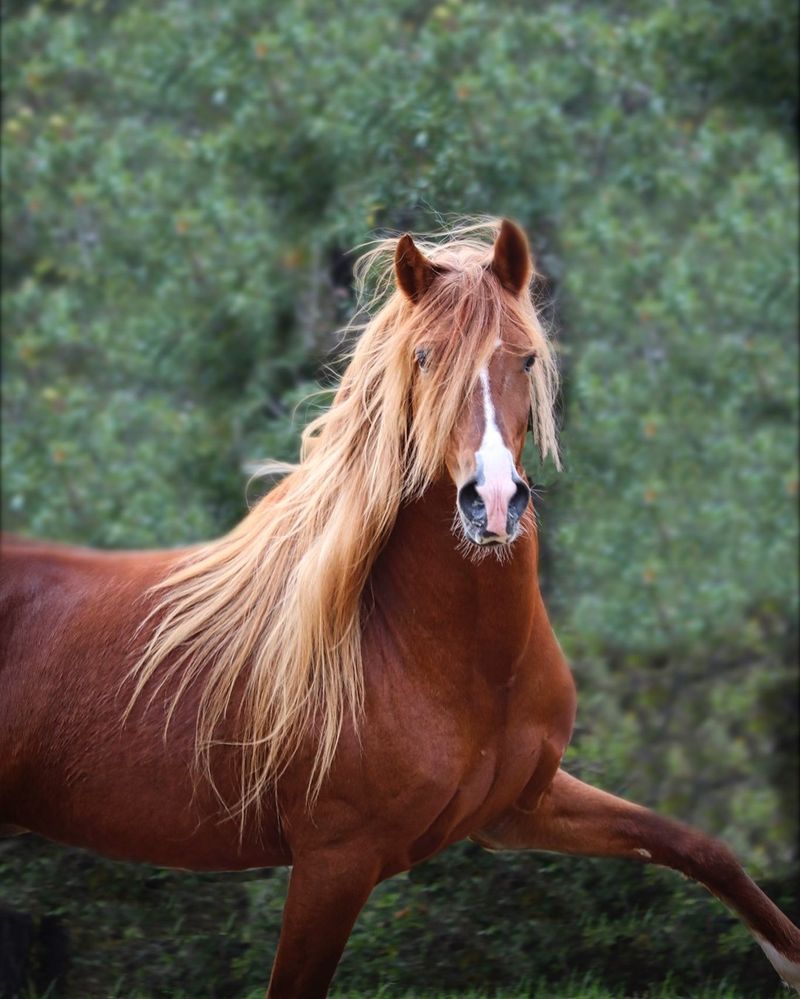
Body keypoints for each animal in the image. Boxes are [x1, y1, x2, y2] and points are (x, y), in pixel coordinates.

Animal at [1, 221, 800, 999]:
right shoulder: (335, 861)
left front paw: (788, 957)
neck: (455, 661)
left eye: (527, 360)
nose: (493, 503)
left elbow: (695, 844)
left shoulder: (518, 807)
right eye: (423, 357)